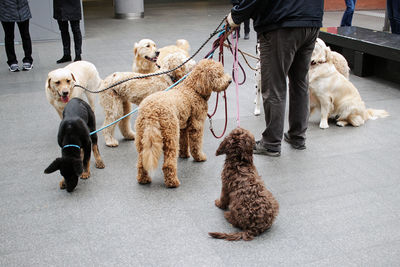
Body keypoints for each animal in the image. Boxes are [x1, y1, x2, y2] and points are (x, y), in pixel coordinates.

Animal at [134, 59, 231, 188]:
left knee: (141, 162)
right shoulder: (197, 125)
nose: (230, 80)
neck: (193, 88)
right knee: (168, 163)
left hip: (142, 137)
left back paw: (143, 179)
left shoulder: (183, 127)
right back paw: (172, 182)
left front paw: (184, 155)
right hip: (170, 135)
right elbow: (196, 144)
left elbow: (184, 142)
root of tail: (151, 113)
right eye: (219, 75)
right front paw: (199, 157)